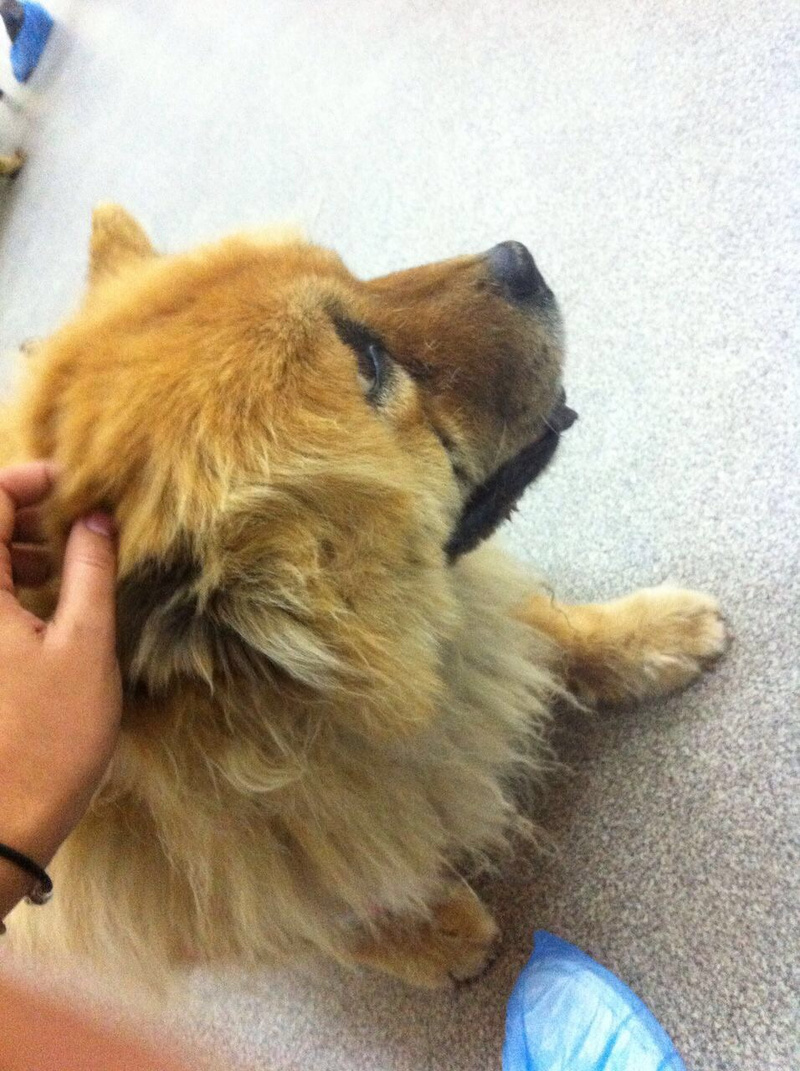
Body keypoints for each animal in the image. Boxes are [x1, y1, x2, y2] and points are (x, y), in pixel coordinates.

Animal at [3, 206, 729, 988]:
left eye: (349, 272)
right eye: (371, 365)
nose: (518, 259)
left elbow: (551, 628)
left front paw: (659, 633)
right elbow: (323, 912)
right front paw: (437, 936)